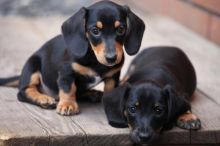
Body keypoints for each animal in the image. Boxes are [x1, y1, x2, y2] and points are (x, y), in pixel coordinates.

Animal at [0, 0, 145, 115]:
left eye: (121, 29)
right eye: (95, 31)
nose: (112, 58)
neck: (94, 60)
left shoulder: (113, 76)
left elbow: (110, 90)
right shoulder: (66, 72)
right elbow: (68, 88)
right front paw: (67, 105)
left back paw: (92, 93)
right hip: (32, 65)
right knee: (23, 92)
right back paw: (43, 99)